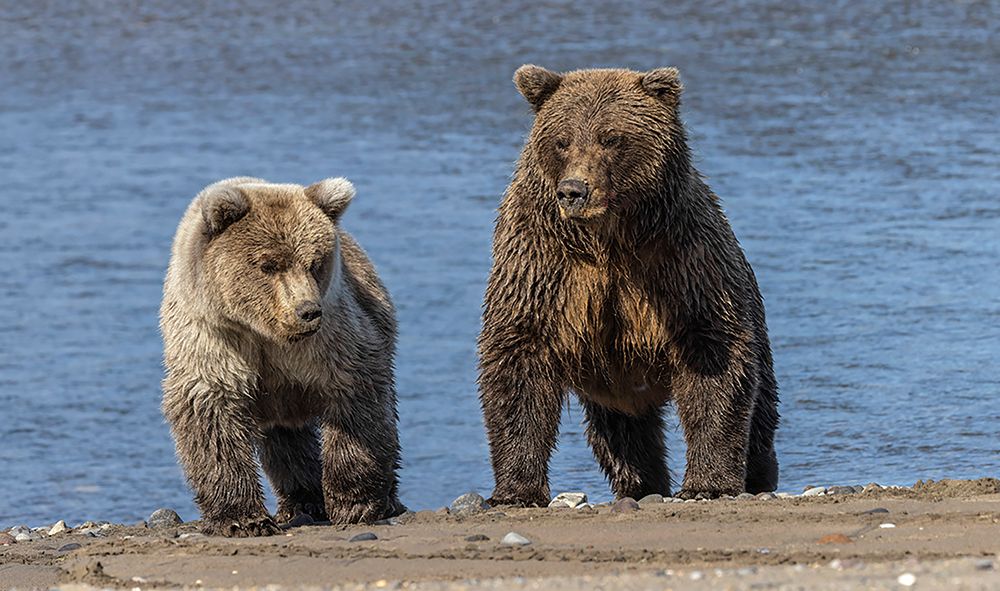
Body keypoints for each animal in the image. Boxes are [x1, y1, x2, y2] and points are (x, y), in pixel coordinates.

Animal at [160, 176, 404, 536]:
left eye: (315, 263)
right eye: (269, 264)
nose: (308, 311)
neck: (264, 332)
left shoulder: (330, 339)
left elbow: (355, 400)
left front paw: (354, 504)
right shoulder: (215, 339)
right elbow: (213, 415)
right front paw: (243, 519)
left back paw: (383, 500)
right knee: (288, 442)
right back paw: (302, 501)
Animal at [478, 65, 779, 506]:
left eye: (611, 138)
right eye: (562, 140)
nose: (573, 190)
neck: (609, 240)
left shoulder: (681, 261)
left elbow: (716, 357)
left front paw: (708, 482)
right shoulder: (543, 265)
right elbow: (518, 358)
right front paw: (516, 489)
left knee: (761, 409)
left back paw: (759, 475)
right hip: (613, 388)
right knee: (623, 438)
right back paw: (641, 483)